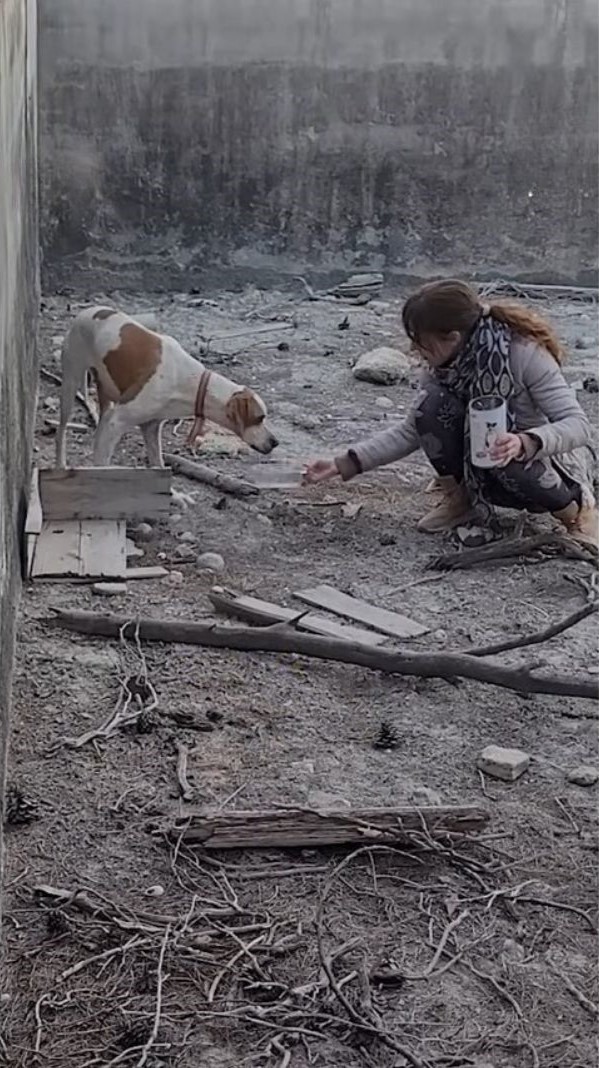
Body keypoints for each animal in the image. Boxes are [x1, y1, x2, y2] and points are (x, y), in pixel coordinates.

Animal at [56, 305, 277, 463]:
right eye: (259, 418)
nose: (275, 442)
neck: (190, 382)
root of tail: (87, 310)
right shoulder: (116, 422)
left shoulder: (151, 428)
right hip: (70, 387)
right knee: (62, 433)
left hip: (106, 398)